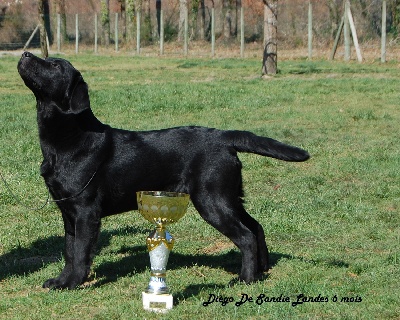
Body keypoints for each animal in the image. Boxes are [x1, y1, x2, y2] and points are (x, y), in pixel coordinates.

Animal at [17, 52, 308, 290]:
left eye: (55, 65)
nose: (25, 53)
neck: (68, 138)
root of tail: (225, 136)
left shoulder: (86, 211)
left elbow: (79, 252)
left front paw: (74, 283)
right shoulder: (68, 212)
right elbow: (68, 250)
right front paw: (61, 281)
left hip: (212, 200)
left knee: (246, 236)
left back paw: (245, 279)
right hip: (228, 196)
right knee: (256, 226)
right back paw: (262, 270)